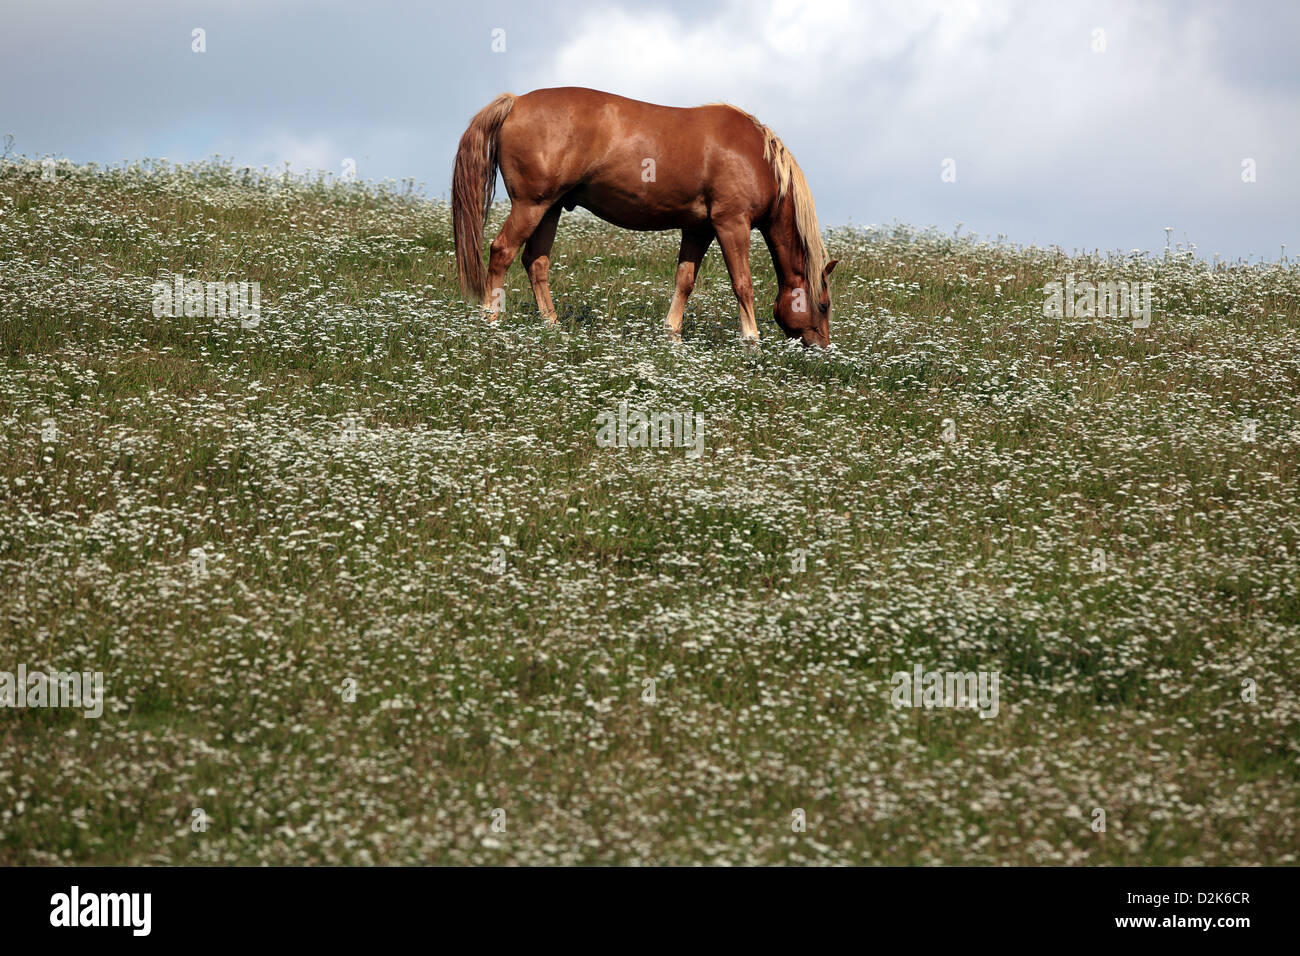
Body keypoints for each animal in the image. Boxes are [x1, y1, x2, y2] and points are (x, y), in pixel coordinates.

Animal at [454, 87, 842, 348]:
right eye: (823, 304)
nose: (822, 347)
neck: (758, 158)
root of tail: (516, 101)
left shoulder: (698, 229)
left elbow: (684, 281)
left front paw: (672, 336)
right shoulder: (732, 223)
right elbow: (742, 284)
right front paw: (751, 341)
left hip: (549, 208)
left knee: (536, 262)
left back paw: (553, 326)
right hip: (530, 205)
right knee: (501, 252)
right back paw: (490, 319)